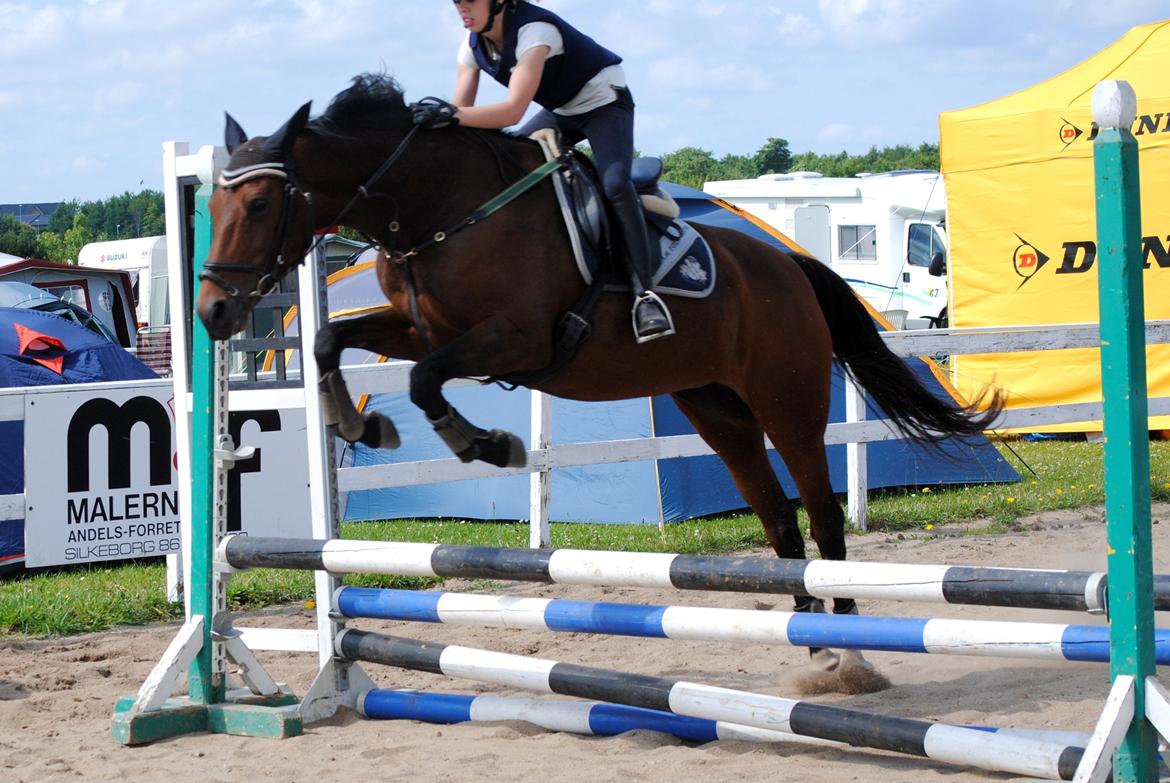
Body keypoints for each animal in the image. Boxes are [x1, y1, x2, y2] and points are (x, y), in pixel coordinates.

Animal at [196, 73, 1001, 683]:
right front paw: (359, 421)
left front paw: (487, 445)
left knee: (825, 518)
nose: (211, 310)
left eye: (260, 202)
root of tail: (791, 265)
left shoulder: (511, 341)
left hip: (787, 402)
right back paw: (811, 646)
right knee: (778, 520)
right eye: (212, 203)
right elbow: (331, 339)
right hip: (717, 409)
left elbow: (425, 381)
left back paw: (849, 655)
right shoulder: (422, 327)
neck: (443, 208)